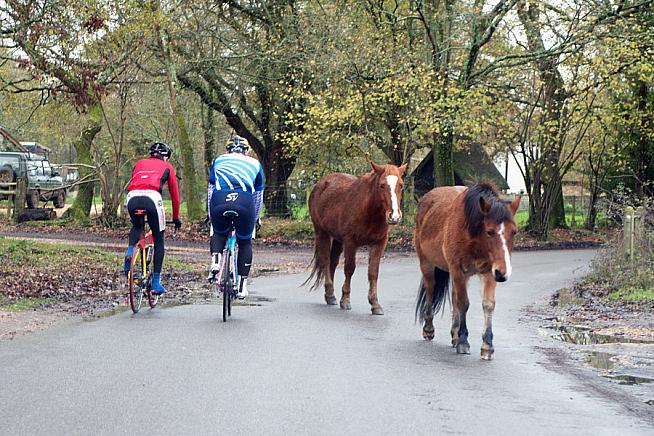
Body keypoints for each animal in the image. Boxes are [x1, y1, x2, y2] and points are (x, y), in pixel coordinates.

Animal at [304, 162, 408, 316]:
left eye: (401, 185)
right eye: (382, 185)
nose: (394, 216)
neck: (369, 212)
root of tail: (321, 184)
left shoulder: (379, 243)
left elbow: (373, 272)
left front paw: (375, 303)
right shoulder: (350, 242)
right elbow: (349, 269)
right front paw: (345, 300)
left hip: (338, 240)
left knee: (332, 262)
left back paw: (330, 294)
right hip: (322, 233)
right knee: (325, 261)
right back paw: (330, 293)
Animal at [416, 182, 524, 360]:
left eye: (514, 232)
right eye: (489, 231)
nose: (503, 273)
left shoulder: (489, 273)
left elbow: (488, 305)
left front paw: (487, 346)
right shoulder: (458, 270)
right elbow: (464, 303)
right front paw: (463, 342)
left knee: (454, 297)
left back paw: (454, 334)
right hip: (427, 263)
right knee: (431, 290)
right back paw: (429, 330)